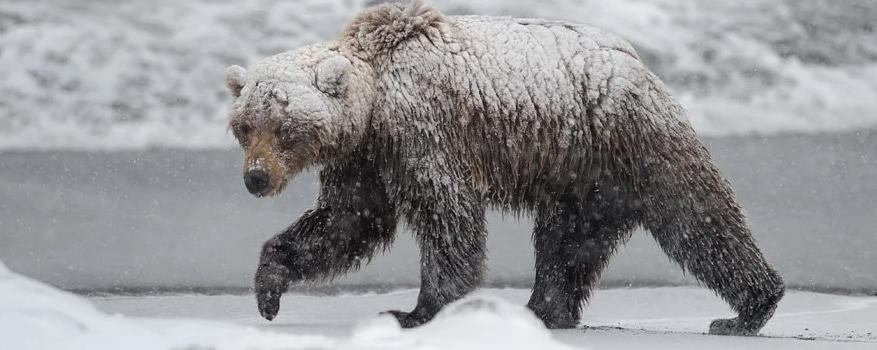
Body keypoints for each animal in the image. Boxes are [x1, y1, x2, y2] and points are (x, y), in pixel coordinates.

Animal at [224, 0, 780, 334]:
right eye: (245, 126)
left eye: (283, 126)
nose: (256, 178)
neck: (375, 105)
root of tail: (639, 62)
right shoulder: (365, 158)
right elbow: (347, 221)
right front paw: (269, 288)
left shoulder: (421, 132)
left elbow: (446, 216)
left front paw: (416, 310)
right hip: (581, 174)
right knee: (568, 241)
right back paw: (543, 309)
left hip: (628, 138)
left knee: (697, 219)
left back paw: (747, 309)